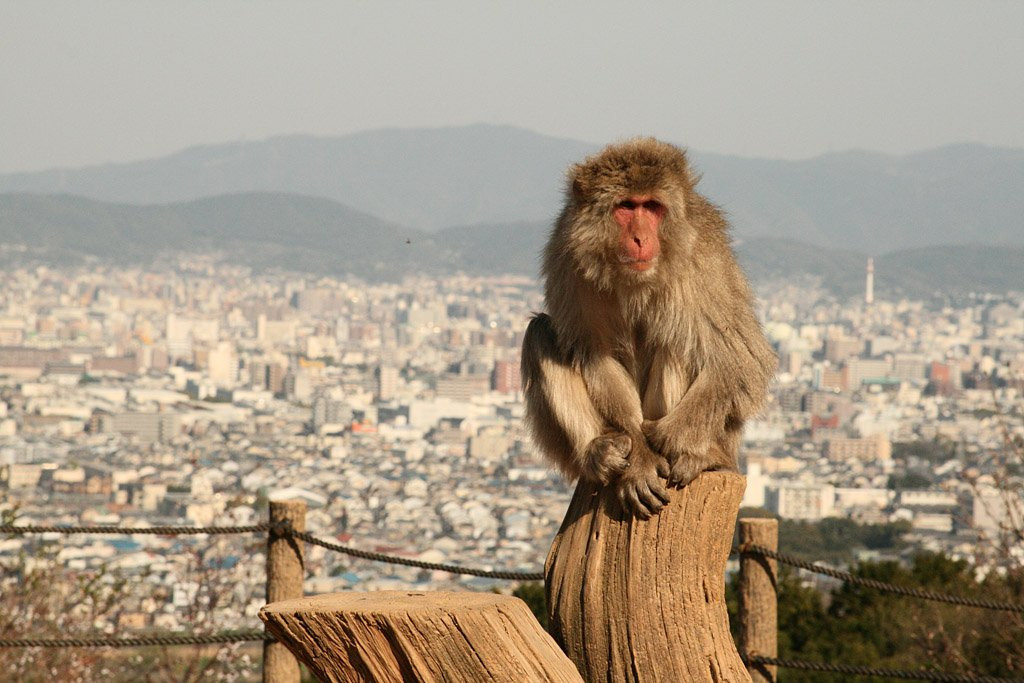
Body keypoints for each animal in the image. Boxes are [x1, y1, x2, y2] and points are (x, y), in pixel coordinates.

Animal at [521, 138, 776, 519]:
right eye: (627, 207)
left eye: (652, 207)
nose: (641, 238)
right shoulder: (568, 260)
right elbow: (595, 355)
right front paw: (640, 459)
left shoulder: (702, 260)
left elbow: (739, 359)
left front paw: (666, 439)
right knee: (541, 333)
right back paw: (598, 454)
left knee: (682, 342)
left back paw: (700, 456)